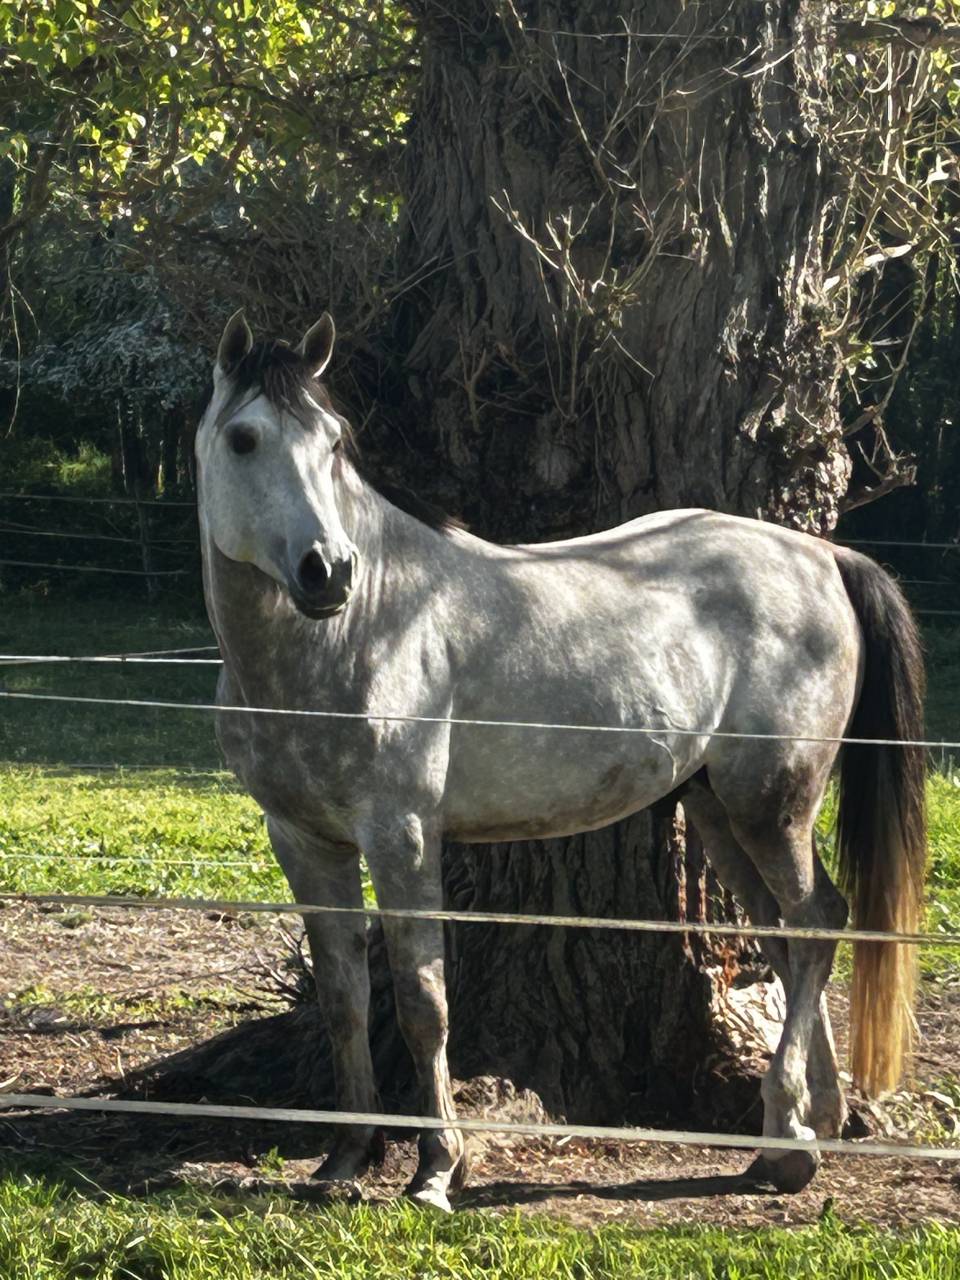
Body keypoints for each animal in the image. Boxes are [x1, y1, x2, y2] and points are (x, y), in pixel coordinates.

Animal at [196, 310, 926, 1212]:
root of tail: (821, 557)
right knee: (786, 936)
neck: (362, 629)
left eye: (333, 442)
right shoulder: (302, 840)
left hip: (771, 802)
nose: (327, 571)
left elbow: (424, 1003)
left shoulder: (402, 834)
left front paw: (436, 1169)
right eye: (245, 439)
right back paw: (798, 1130)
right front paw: (345, 1159)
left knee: (819, 919)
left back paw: (789, 1140)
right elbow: (344, 1000)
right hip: (716, 807)